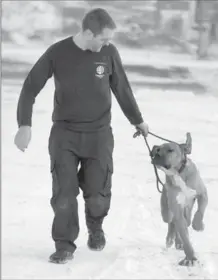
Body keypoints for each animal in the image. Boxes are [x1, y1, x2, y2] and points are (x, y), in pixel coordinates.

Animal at [150, 133, 208, 266]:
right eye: (158, 150)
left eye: (170, 150)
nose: (157, 154)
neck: (177, 173)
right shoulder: (176, 209)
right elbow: (185, 237)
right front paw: (190, 257)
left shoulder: (202, 194)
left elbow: (200, 211)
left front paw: (198, 225)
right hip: (167, 212)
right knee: (172, 223)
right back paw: (172, 239)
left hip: (186, 211)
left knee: (183, 222)